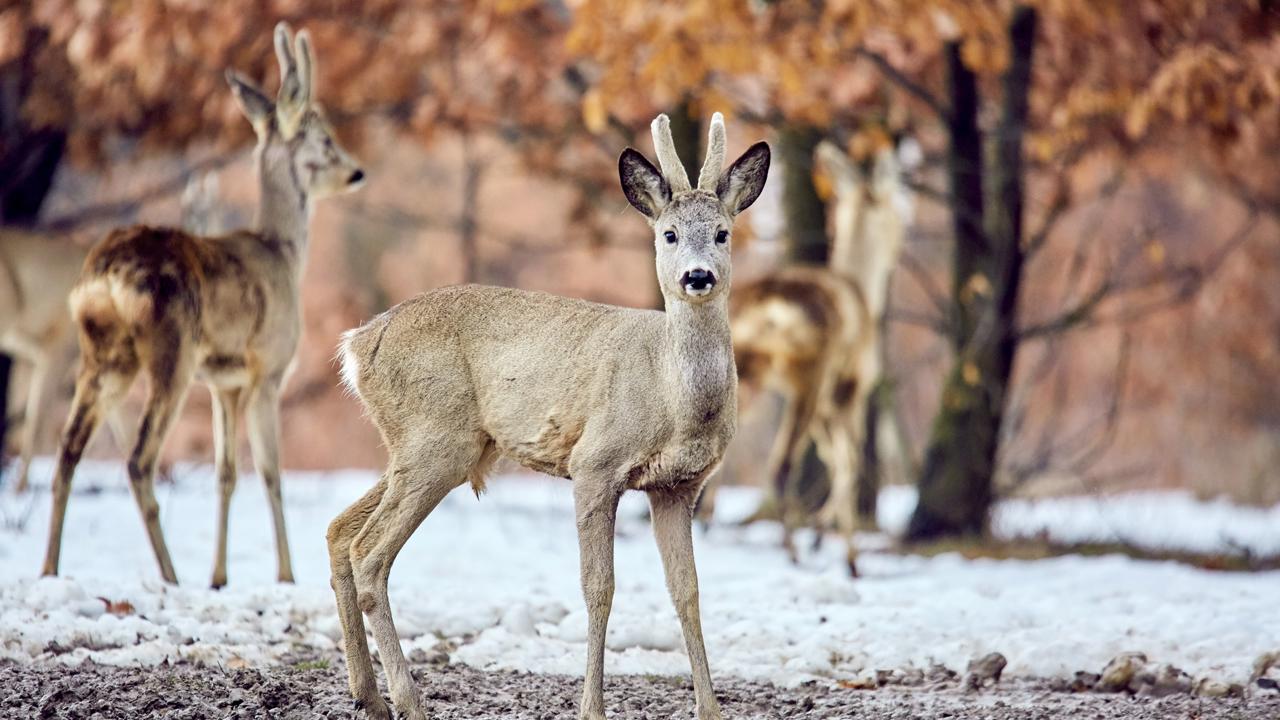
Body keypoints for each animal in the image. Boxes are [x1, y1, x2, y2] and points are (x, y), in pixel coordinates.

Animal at [42, 22, 363, 586]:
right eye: (324, 138)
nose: (355, 172)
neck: (281, 251)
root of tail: (104, 276)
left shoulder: (223, 383)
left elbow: (225, 473)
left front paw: (220, 577)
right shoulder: (268, 368)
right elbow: (271, 472)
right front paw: (285, 575)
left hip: (105, 355)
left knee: (67, 451)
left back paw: (50, 570)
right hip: (171, 351)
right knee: (139, 461)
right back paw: (169, 576)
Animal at [330, 110, 768, 717]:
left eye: (723, 232)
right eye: (669, 234)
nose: (697, 276)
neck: (671, 397)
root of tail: (359, 342)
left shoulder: (678, 486)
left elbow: (688, 590)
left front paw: (710, 709)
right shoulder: (595, 463)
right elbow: (599, 587)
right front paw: (592, 707)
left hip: (427, 445)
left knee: (339, 531)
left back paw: (367, 696)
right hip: (435, 440)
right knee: (368, 552)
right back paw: (409, 701)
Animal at [721, 135, 911, 571]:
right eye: (894, 207)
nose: (902, 237)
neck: (861, 288)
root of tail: (769, 305)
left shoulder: (829, 399)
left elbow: (833, 457)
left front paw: (826, 537)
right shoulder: (851, 383)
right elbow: (851, 460)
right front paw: (847, 555)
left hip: (746, 373)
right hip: (809, 371)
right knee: (782, 464)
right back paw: (793, 550)